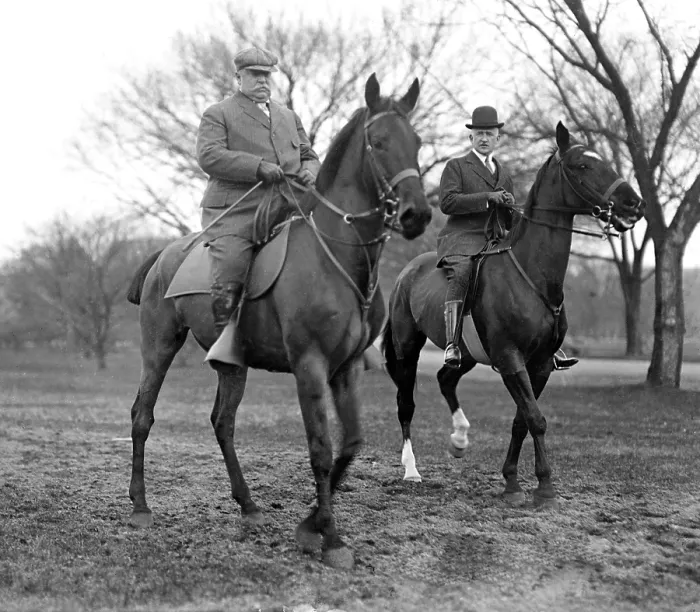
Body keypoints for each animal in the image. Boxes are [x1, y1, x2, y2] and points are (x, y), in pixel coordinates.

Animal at [125, 74, 432, 569]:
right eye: (380, 142)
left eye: (417, 141)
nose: (417, 214)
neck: (336, 256)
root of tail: (165, 253)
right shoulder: (309, 365)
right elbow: (321, 449)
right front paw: (330, 538)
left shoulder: (347, 368)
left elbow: (351, 443)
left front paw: (310, 525)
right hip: (159, 346)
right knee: (142, 416)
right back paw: (140, 506)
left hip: (232, 364)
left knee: (223, 422)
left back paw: (248, 506)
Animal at [381, 122, 645, 508]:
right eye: (582, 165)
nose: (634, 203)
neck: (531, 275)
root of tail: (406, 272)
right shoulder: (510, 358)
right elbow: (535, 418)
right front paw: (544, 487)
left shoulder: (540, 364)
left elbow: (523, 420)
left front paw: (513, 482)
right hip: (407, 347)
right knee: (406, 403)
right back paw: (411, 469)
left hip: (467, 355)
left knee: (446, 379)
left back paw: (460, 439)